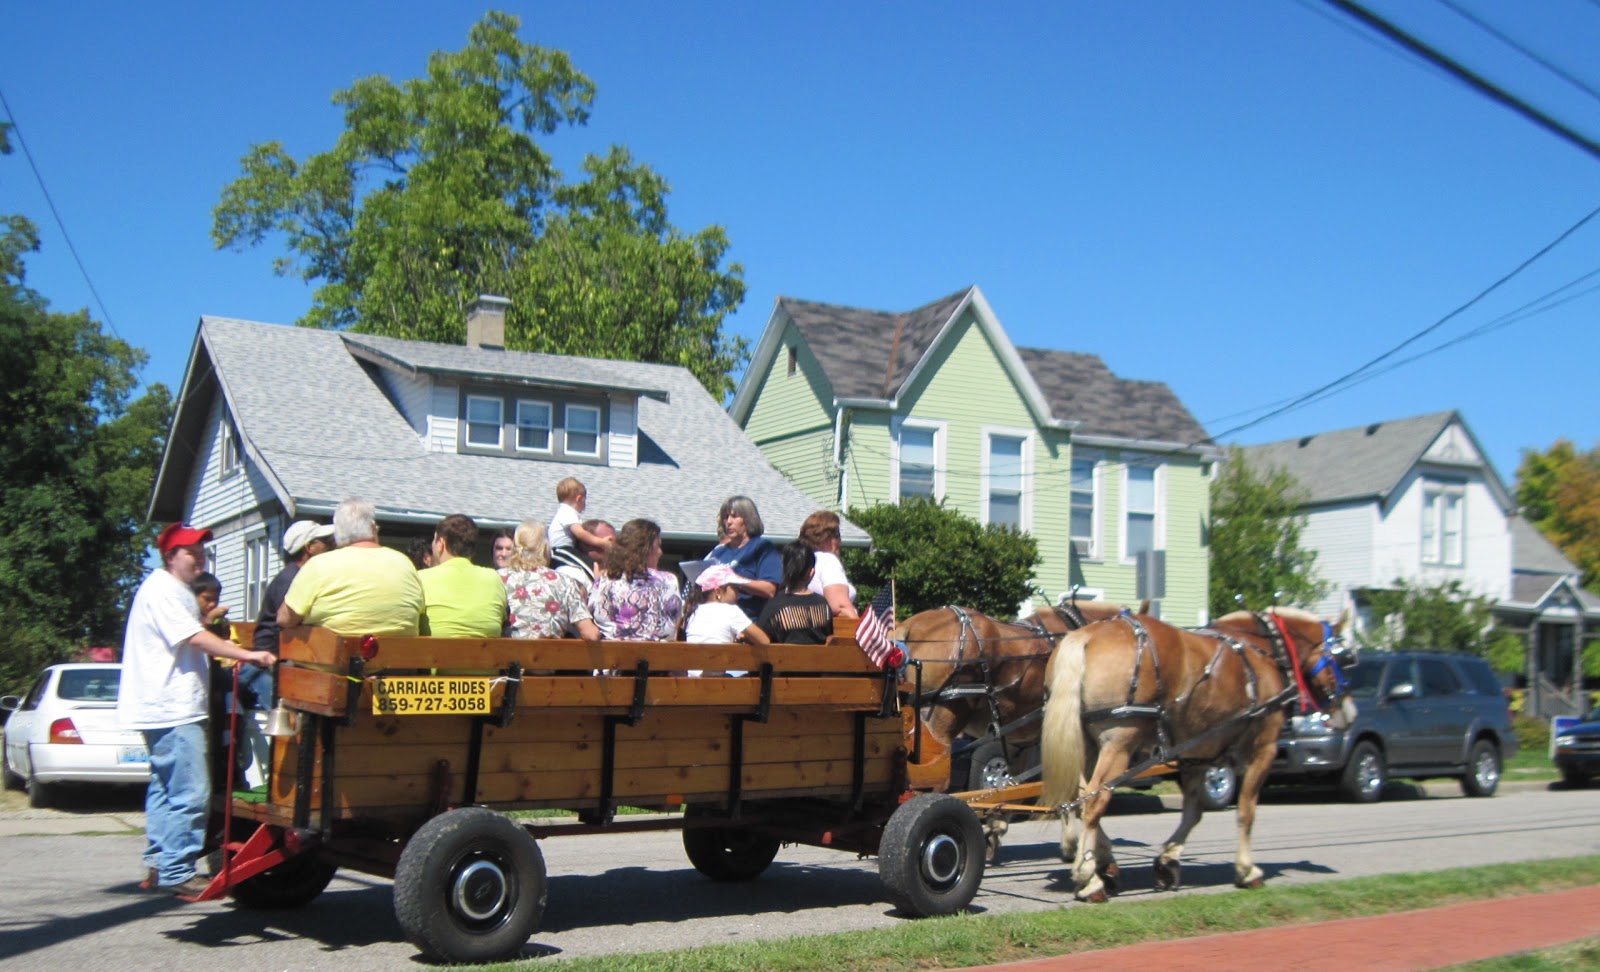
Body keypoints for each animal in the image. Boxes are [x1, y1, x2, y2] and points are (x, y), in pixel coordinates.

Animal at [1039, 607, 1356, 902]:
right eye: (1345, 658)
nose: (1350, 713)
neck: (1262, 651)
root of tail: (1085, 636)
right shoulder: (1263, 749)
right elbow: (1246, 810)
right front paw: (1247, 870)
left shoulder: (1197, 754)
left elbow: (1193, 813)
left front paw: (1168, 860)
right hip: (1119, 742)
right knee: (1095, 801)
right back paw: (1088, 878)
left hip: (1086, 745)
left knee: (1080, 800)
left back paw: (1099, 864)